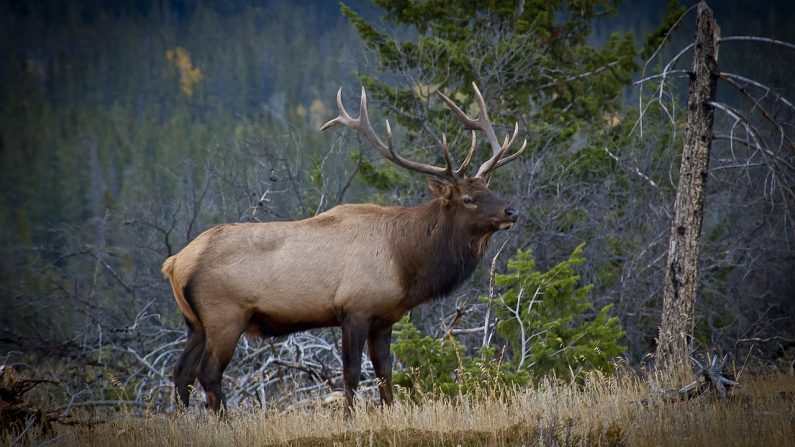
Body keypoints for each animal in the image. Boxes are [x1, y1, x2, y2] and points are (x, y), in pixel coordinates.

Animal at [160, 81, 528, 412]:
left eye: (489, 188)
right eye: (468, 198)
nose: (511, 211)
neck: (405, 261)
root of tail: (175, 263)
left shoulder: (384, 317)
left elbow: (384, 372)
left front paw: (389, 413)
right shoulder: (354, 308)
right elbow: (351, 372)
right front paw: (350, 416)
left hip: (195, 323)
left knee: (181, 373)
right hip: (225, 315)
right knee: (208, 373)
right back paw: (224, 422)